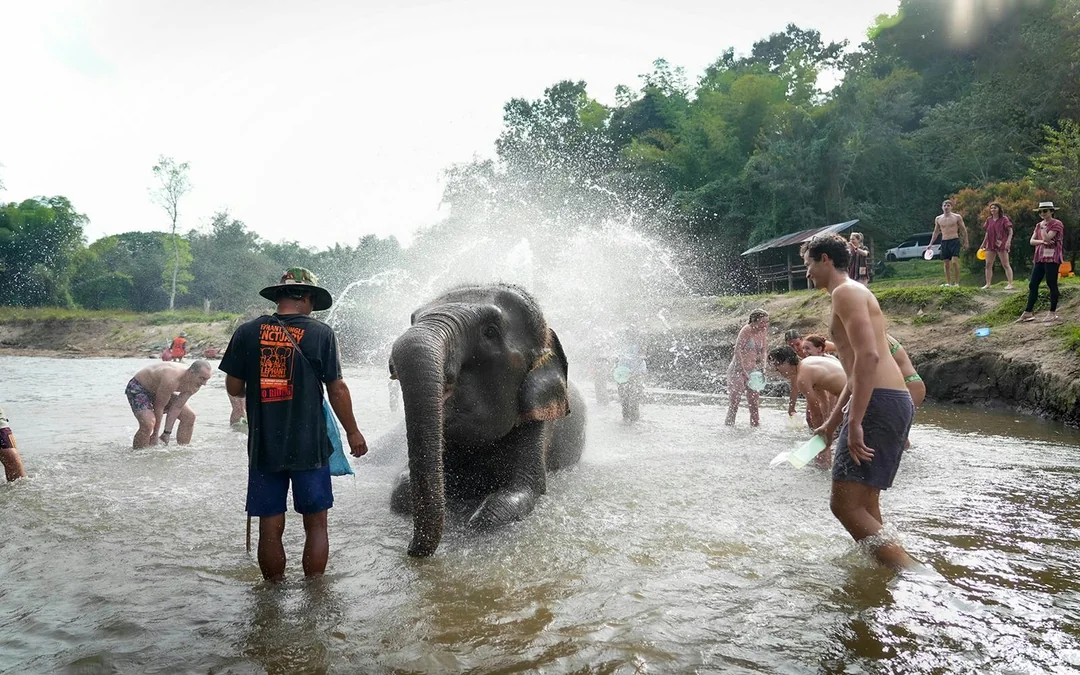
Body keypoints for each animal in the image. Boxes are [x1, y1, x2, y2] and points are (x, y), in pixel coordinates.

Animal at [388, 283, 587, 557]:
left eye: (490, 331)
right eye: (412, 319)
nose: (410, 549)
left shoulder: (540, 422)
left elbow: (521, 492)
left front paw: (477, 518)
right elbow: (400, 491)